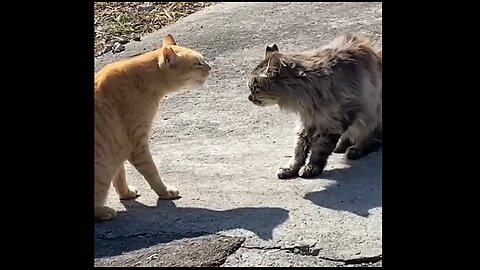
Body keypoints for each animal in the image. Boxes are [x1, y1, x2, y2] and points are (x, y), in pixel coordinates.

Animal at [94, 33, 211, 220]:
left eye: (203, 61)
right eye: (198, 63)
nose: (210, 67)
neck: (141, 80)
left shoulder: (118, 149)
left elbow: (120, 176)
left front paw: (126, 193)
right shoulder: (137, 146)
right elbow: (152, 172)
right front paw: (164, 191)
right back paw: (103, 211)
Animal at [248, 33, 382, 179]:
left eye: (255, 88)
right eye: (251, 88)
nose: (249, 98)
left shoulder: (335, 120)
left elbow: (319, 148)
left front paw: (311, 168)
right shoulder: (307, 121)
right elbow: (298, 149)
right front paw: (291, 168)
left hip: (373, 114)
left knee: (372, 138)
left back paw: (355, 149)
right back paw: (342, 145)